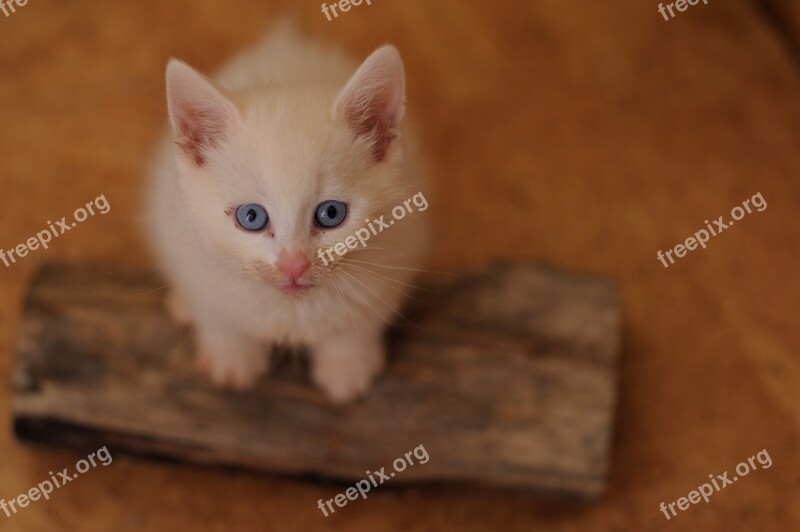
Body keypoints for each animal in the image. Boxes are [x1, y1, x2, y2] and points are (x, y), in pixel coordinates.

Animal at [144, 25, 432, 404]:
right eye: (251, 217)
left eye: (331, 213)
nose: (293, 265)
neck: (294, 310)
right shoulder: (189, 251)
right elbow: (219, 316)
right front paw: (232, 360)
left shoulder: (398, 252)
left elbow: (358, 322)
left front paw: (347, 368)